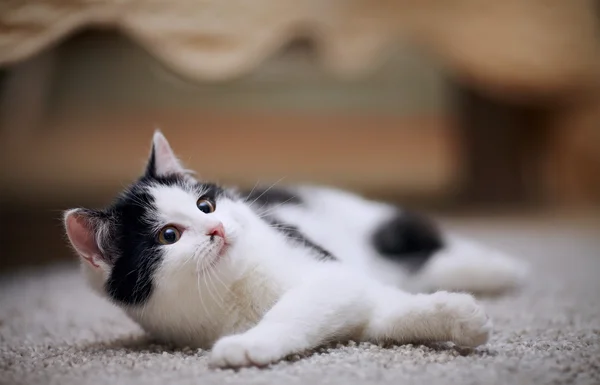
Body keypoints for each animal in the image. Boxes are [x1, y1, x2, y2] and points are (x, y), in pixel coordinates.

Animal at [63, 131, 528, 366]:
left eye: (205, 205)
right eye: (168, 236)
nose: (216, 228)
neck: (233, 288)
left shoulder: (328, 269)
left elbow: (304, 303)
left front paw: (249, 344)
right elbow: (385, 316)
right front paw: (458, 318)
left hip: (369, 221)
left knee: (424, 245)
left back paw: (499, 268)